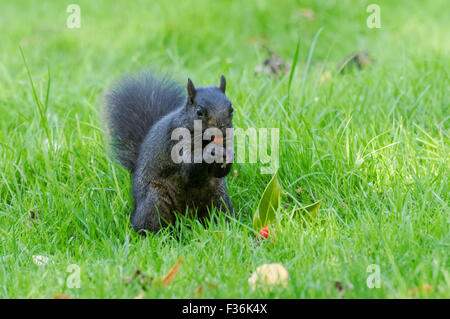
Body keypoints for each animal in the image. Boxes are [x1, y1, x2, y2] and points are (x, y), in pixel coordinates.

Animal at [103, 71, 234, 234]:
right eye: (199, 112)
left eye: (231, 110)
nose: (222, 129)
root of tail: (187, 218)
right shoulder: (176, 142)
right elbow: (189, 170)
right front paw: (211, 151)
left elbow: (219, 172)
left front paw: (230, 155)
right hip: (155, 201)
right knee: (149, 225)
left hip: (219, 199)